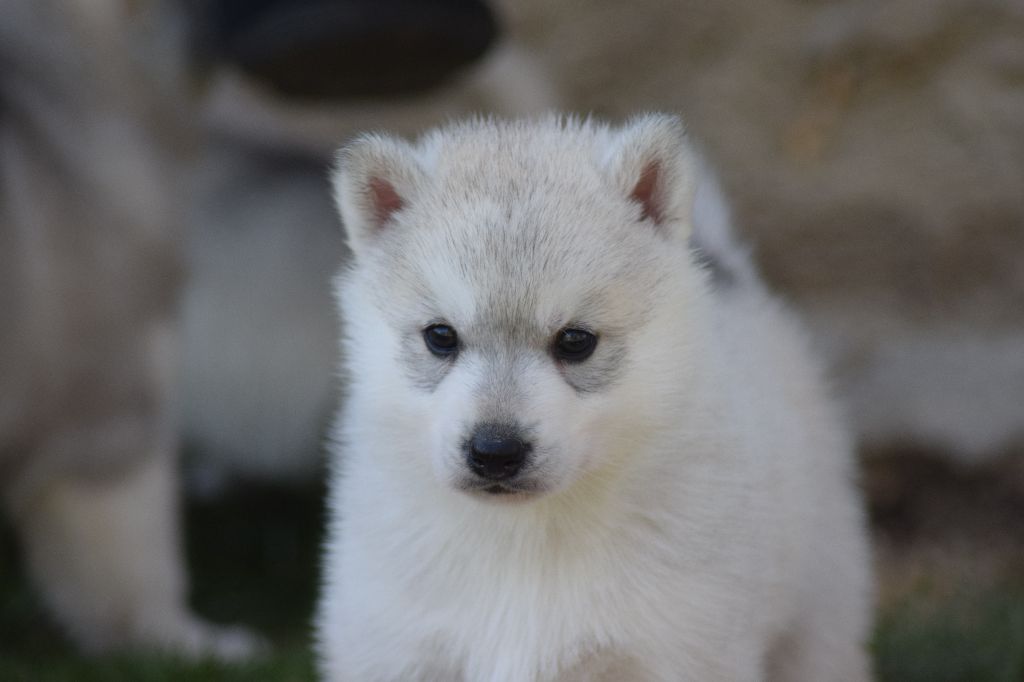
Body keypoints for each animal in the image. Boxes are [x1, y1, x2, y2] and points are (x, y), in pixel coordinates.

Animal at [316, 115, 873, 681]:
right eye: (440, 337)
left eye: (576, 341)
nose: (495, 451)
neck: (525, 540)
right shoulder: (395, 649)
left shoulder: (674, 652)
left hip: (819, 606)